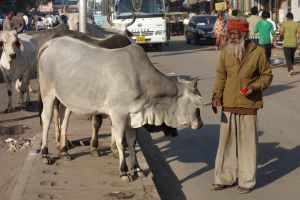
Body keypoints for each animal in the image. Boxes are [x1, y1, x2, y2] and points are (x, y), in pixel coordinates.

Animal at [38, 36, 205, 181]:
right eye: (196, 106)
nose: (201, 124)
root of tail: (52, 42)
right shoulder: (118, 115)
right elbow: (121, 143)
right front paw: (124, 171)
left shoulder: (133, 116)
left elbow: (132, 142)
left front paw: (137, 168)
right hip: (48, 93)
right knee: (46, 119)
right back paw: (45, 153)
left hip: (64, 98)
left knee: (62, 120)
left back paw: (63, 151)